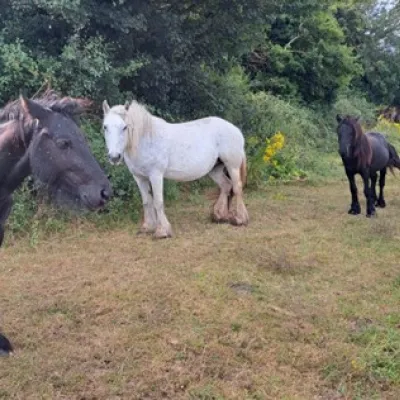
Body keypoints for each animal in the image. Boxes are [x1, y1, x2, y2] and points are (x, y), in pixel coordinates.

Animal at [101, 99, 248, 238]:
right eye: (105, 127)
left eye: (125, 127)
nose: (114, 157)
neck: (145, 139)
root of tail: (235, 129)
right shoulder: (139, 178)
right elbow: (147, 201)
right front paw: (147, 227)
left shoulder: (156, 175)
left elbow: (158, 202)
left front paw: (162, 231)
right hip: (215, 169)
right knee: (226, 186)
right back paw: (219, 216)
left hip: (232, 166)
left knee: (237, 187)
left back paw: (240, 219)